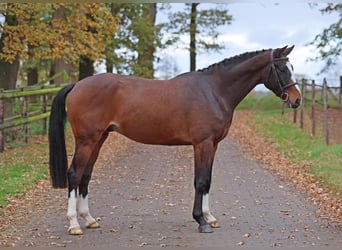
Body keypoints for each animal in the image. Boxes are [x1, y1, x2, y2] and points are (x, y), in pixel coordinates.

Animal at [48, 46, 302, 235]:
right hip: (86, 140)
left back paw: (89, 219)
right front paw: (201, 221)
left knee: (85, 175)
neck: (214, 90)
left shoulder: (213, 145)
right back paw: (74, 224)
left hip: (99, 138)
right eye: (281, 68)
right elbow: (200, 181)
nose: (297, 100)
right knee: (74, 174)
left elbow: (208, 180)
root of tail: (78, 84)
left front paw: (209, 217)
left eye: (292, 67)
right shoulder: (202, 144)